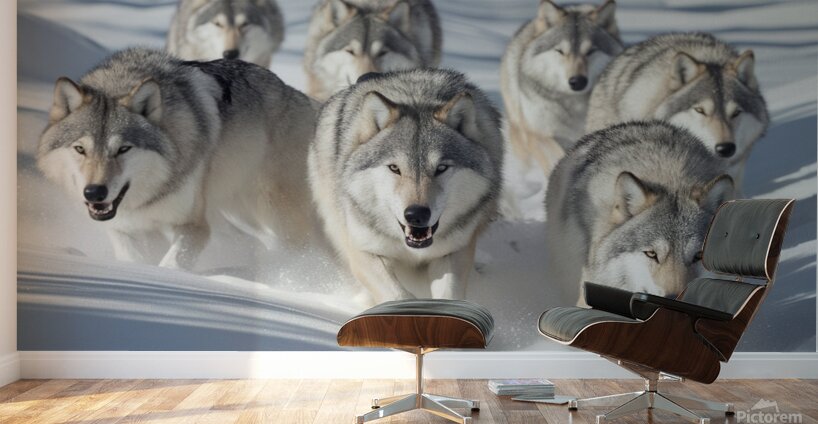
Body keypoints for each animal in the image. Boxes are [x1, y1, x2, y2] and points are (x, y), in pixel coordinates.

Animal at [37, 48, 318, 270]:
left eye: (123, 149)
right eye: (80, 149)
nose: (94, 192)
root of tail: (303, 99)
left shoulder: (193, 226)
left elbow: (171, 265)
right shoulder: (125, 228)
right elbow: (134, 258)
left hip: (272, 213)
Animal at [309, 70, 503, 303]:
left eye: (441, 168)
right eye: (394, 168)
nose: (416, 214)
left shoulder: (453, 252)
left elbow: (449, 295)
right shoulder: (364, 251)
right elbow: (399, 296)